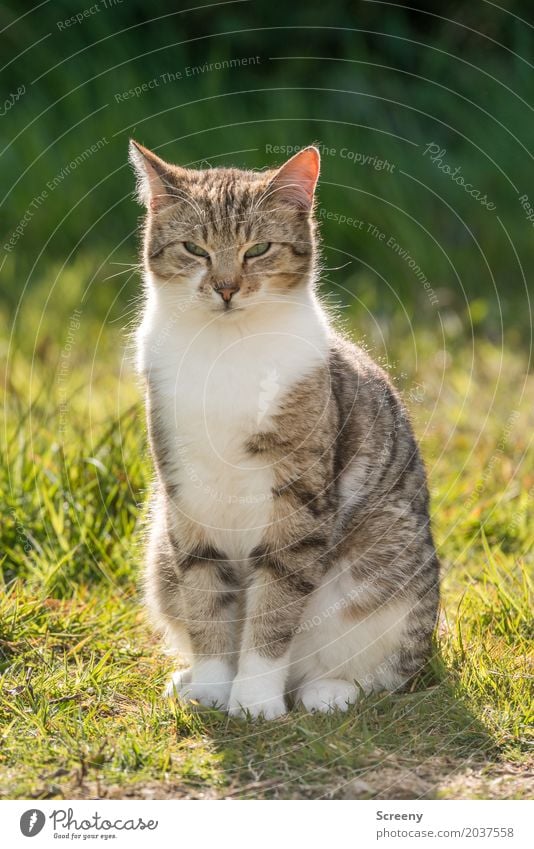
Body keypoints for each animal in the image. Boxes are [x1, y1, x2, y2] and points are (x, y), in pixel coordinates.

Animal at [129, 139, 440, 716]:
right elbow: (206, 594)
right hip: (160, 552)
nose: (226, 288)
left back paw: (328, 690)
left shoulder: (299, 500)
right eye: (195, 249)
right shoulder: (185, 492)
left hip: (388, 570)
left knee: (390, 669)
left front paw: (253, 699)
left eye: (258, 249)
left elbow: (274, 605)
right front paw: (212, 687)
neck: (225, 351)